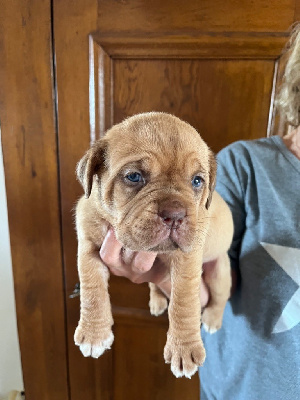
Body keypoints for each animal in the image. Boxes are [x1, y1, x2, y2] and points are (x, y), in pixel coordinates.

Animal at [74, 112, 233, 378]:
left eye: (197, 181)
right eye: (134, 177)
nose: (175, 214)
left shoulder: (187, 259)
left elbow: (184, 302)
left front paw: (184, 348)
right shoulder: (87, 245)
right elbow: (92, 289)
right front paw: (94, 333)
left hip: (219, 273)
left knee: (220, 298)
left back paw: (212, 319)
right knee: (154, 285)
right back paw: (157, 300)